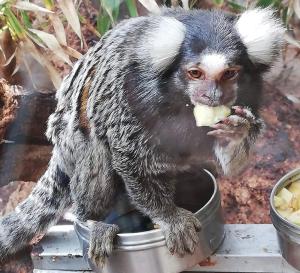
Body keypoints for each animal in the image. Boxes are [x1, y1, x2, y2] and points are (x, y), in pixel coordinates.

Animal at [0, 6, 284, 266]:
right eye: (195, 73)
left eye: (229, 73)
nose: (212, 96)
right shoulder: (134, 94)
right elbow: (130, 157)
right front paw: (168, 216)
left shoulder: (250, 95)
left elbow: (231, 162)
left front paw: (234, 133)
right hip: (70, 141)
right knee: (95, 153)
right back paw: (92, 219)